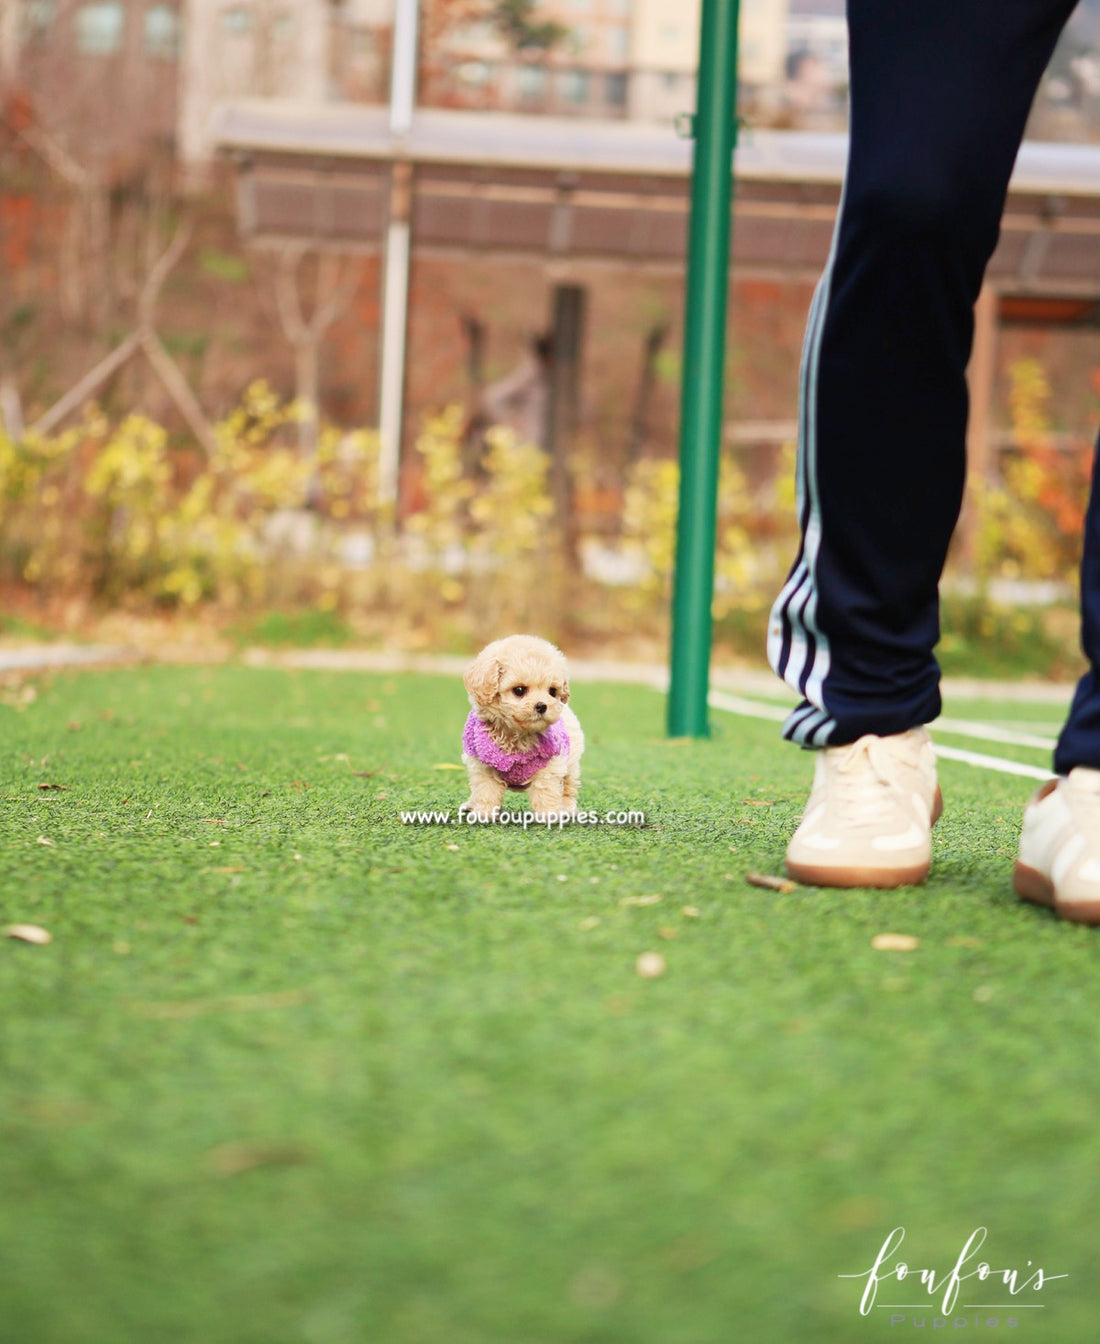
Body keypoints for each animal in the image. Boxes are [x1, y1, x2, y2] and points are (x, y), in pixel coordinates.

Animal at [459, 631, 583, 817]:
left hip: (571, 761)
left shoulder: (551, 764)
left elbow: (546, 791)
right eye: (519, 690)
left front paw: (549, 815)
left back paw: (568, 808)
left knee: (568, 787)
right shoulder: (483, 766)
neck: (516, 734)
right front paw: (484, 813)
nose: (542, 706)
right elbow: (486, 791)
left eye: (552, 691)